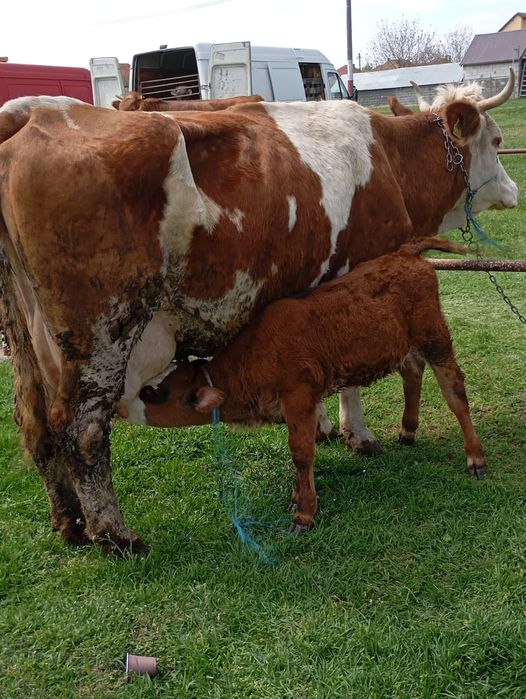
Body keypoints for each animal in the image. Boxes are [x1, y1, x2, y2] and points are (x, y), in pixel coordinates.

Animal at [121, 238, 486, 533]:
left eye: (152, 393)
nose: (120, 406)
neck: (253, 357)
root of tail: (404, 253)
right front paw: (298, 499)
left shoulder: (298, 394)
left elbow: (301, 451)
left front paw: (304, 514)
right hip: (403, 342)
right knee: (412, 371)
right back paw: (408, 430)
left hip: (434, 335)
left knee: (455, 391)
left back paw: (475, 458)